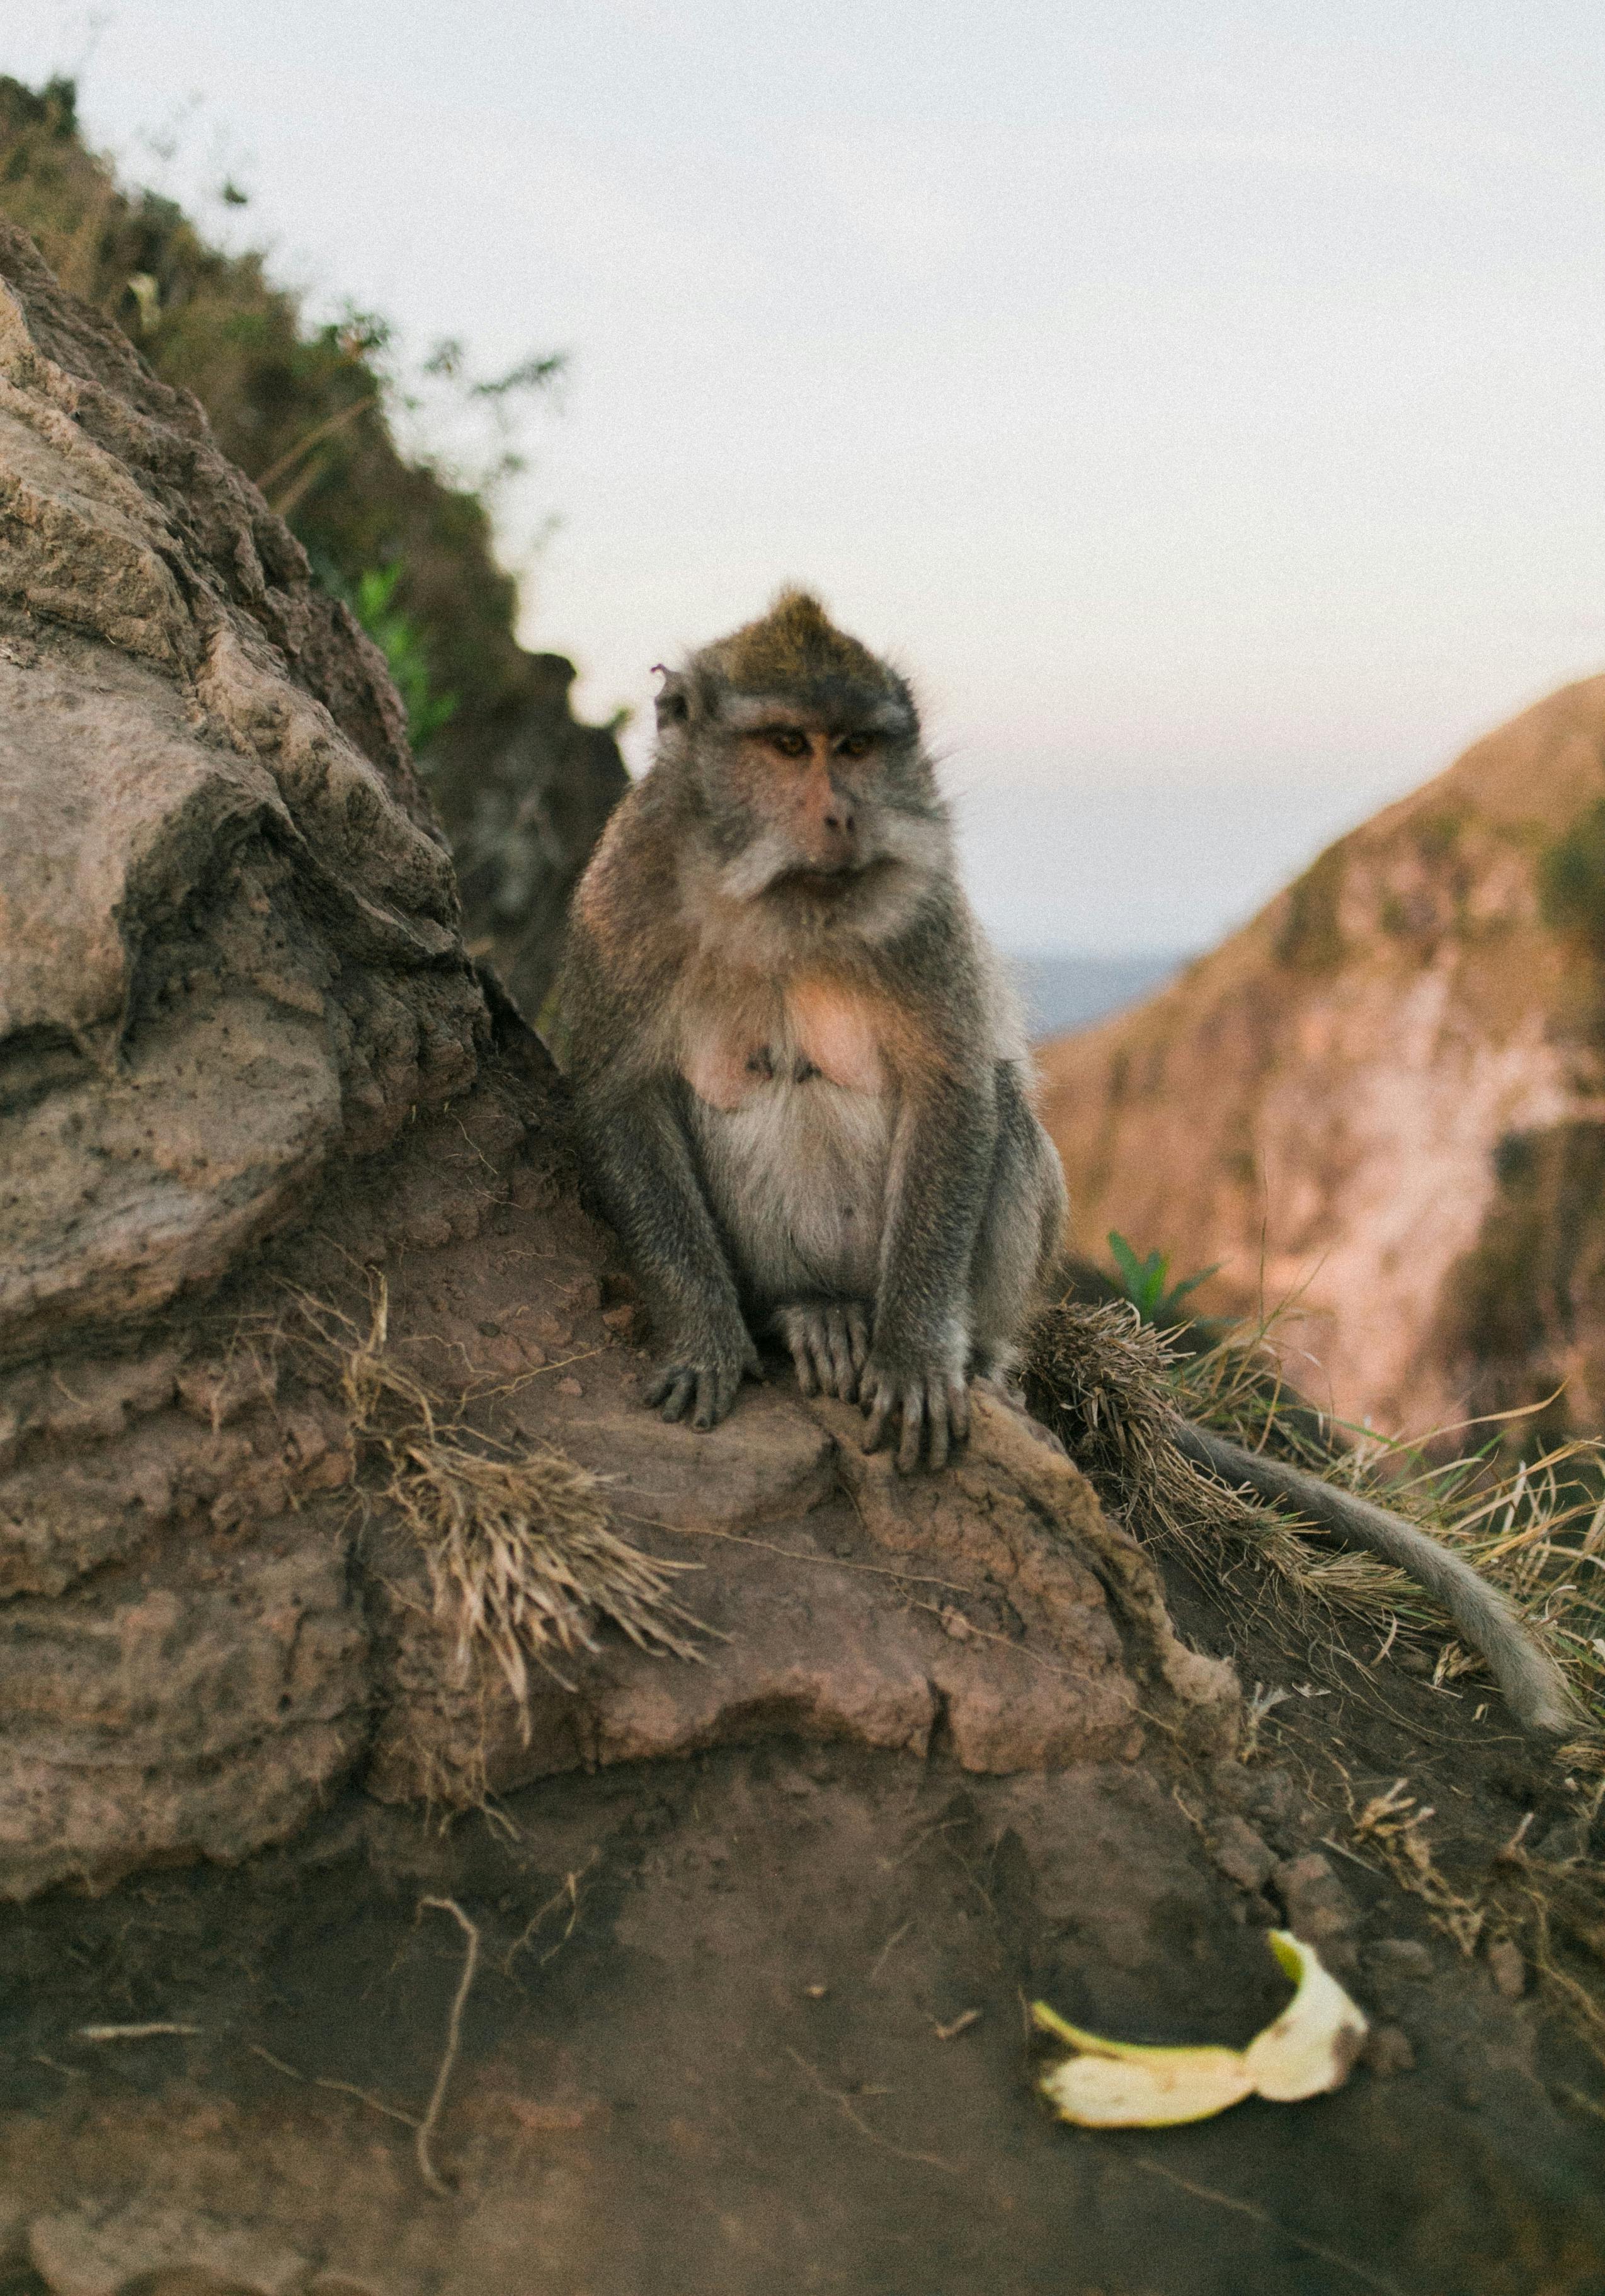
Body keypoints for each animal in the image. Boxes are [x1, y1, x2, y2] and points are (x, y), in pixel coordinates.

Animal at [557, 588, 1067, 1473]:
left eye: (857, 747)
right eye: (789, 745)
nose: (842, 816)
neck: (780, 909)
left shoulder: (923, 904)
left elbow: (954, 1085)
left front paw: (915, 1356)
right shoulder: (623, 897)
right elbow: (616, 1097)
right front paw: (707, 1339)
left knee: (1001, 1099)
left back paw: (960, 1353)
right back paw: (807, 1315)